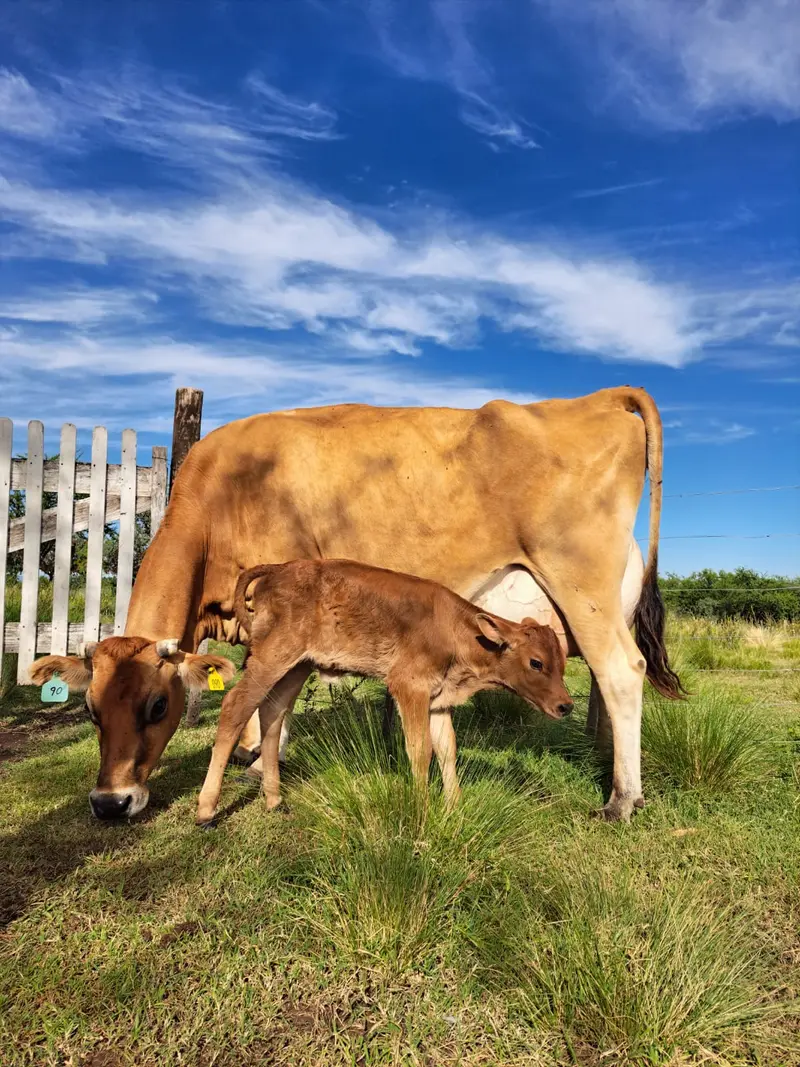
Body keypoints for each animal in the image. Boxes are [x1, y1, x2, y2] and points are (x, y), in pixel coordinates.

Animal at [194, 559, 573, 824]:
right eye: (536, 662)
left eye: (562, 663)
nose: (565, 706)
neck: (456, 632)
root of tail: (280, 568)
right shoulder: (409, 688)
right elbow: (421, 751)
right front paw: (422, 812)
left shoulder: (439, 702)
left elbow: (448, 750)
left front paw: (454, 808)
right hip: (271, 659)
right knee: (236, 705)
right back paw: (206, 810)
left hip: (296, 667)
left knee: (272, 712)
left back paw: (274, 801)